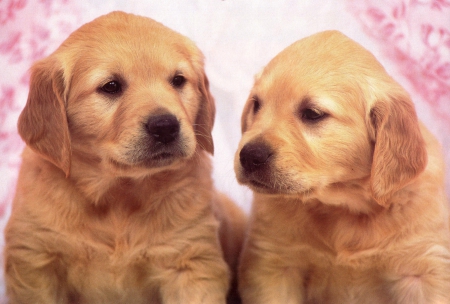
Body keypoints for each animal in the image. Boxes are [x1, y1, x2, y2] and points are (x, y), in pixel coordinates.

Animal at [3, 10, 246, 302]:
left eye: (178, 80)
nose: (165, 126)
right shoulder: (35, 261)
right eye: (111, 86)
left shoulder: (190, 262)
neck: (118, 193)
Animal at [236, 30, 450, 304]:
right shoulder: (273, 264)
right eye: (256, 104)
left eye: (312, 113)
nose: (249, 156)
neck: (344, 206)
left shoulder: (423, 270)